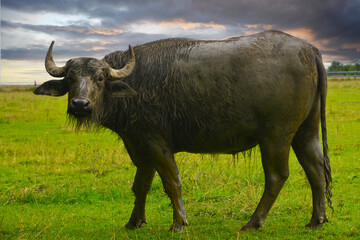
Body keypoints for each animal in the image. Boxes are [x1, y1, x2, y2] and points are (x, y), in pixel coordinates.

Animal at [33, 29, 332, 231]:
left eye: (99, 78)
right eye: (71, 78)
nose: (80, 105)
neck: (135, 85)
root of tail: (309, 50)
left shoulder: (156, 143)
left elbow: (172, 182)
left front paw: (178, 223)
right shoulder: (139, 145)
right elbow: (140, 186)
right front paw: (134, 221)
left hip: (275, 136)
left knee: (277, 176)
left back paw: (253, 222)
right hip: (306, 131)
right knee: (316, 170)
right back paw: (316, 220)